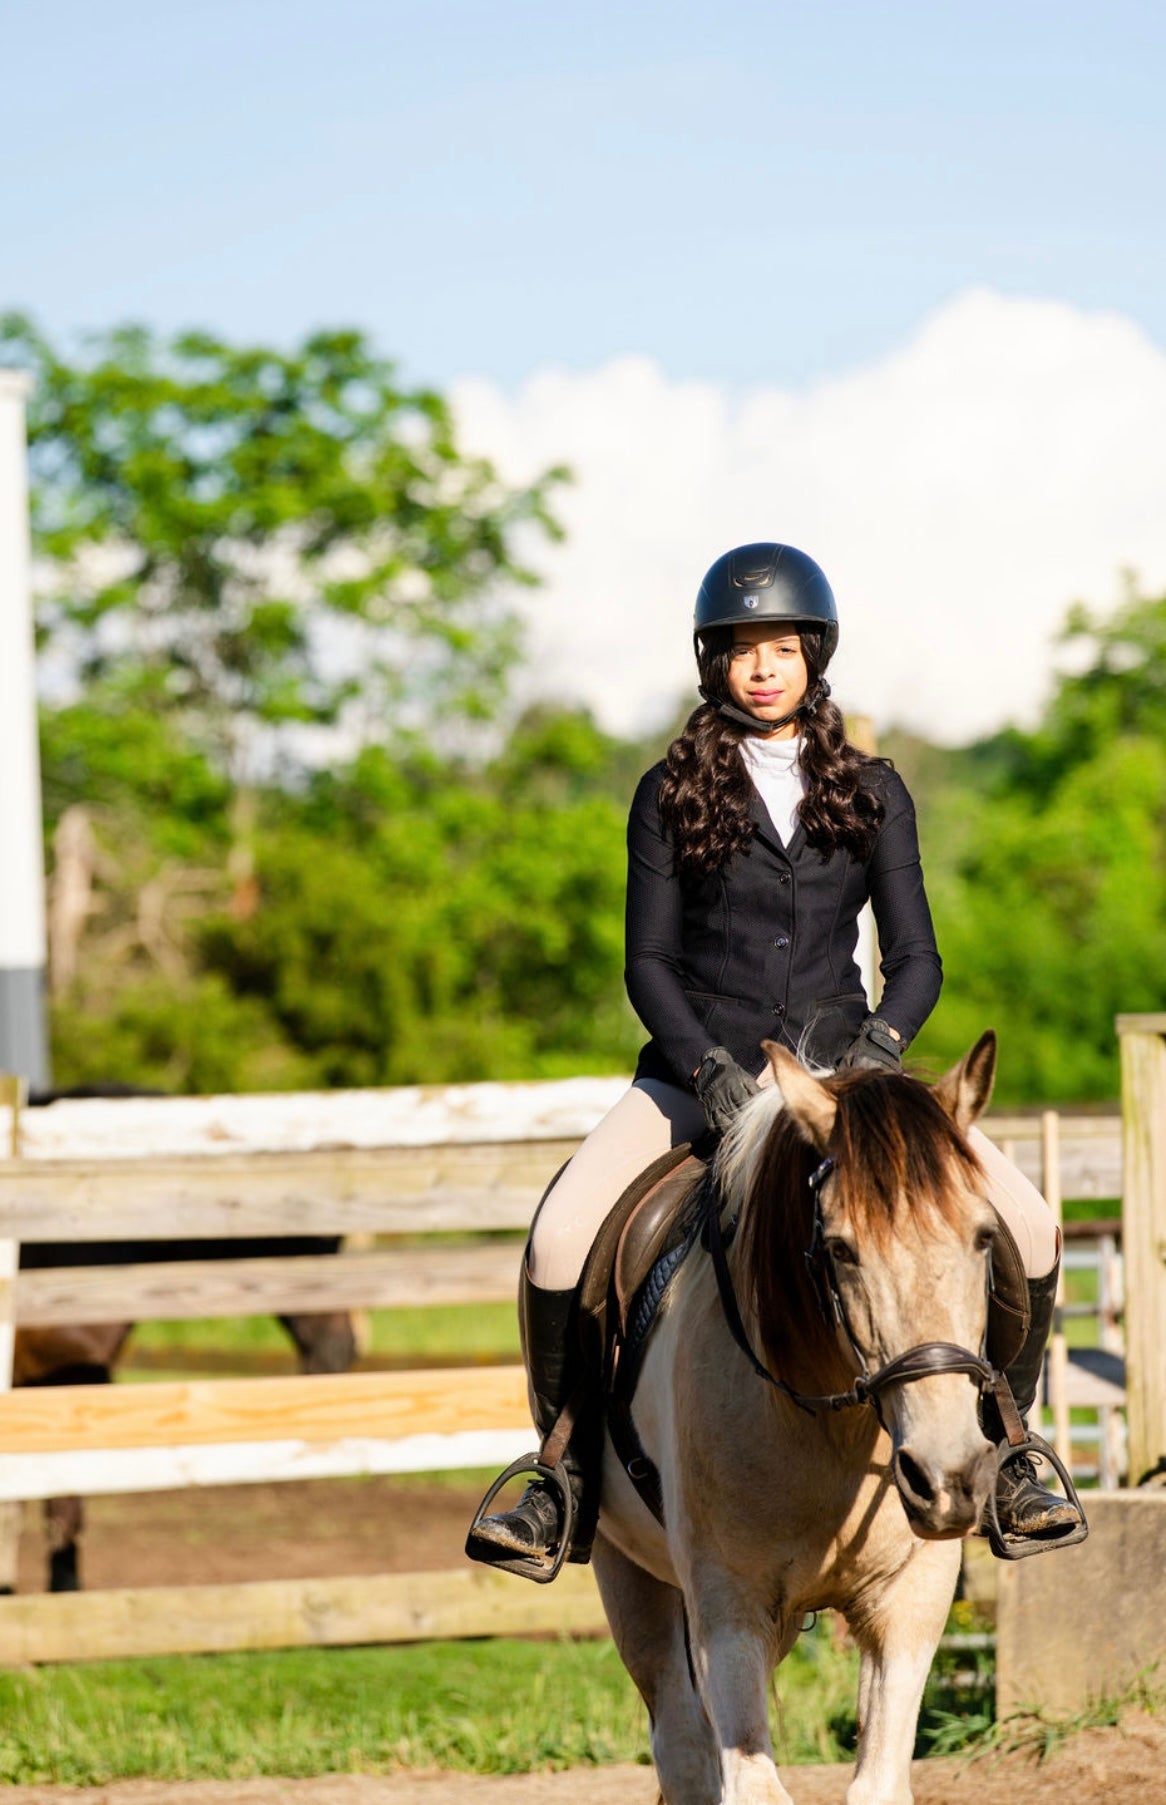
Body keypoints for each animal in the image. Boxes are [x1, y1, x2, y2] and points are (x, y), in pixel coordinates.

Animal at [595, 1032, 1003, 1805]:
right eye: (840, 1248)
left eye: (984, 1238)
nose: (947, 1479)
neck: (826, 1424)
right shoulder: (730, 1615)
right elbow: (750, 1781)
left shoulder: (910, 1603)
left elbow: (878, 1783)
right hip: (628, 1573)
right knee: (684, 1749)